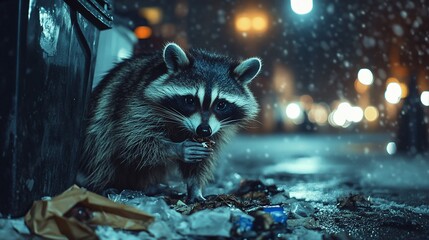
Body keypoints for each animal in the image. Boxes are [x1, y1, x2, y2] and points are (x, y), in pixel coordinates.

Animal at [78, 43, 260, 202]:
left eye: (221, 104)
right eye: (190, 100)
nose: (203, 130)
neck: (181, 124)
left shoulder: (217, 130)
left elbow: (201, 163)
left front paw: (195, 187)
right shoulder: (137, 105)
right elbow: (133, 142)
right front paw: (176, 148)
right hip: (103, 114)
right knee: (102, 147)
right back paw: (103, 184)